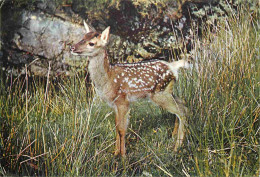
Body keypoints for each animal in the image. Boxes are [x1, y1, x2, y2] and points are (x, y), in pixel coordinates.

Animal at [70, 21, 191, 156]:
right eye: (83, 37)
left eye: (91, 43)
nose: (72, 48)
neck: (108, 78)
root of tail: (173, 66)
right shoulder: (115, 104)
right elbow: (116, 127)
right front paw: (115, 153)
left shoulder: (123, 100)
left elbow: (122, 129)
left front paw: (123, 156)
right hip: (167, 91)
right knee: (182, 103)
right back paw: (174, 137)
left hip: (160, 94)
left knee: (182, 111)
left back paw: (177, 147)